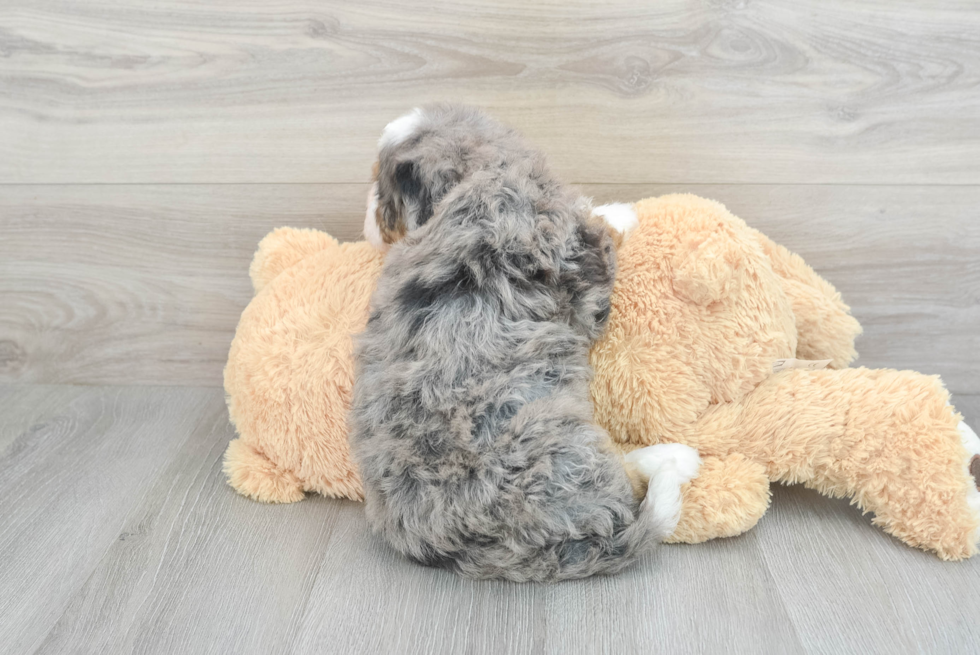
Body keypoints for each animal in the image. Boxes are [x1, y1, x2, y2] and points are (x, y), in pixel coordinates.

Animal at [348, 105, 700, 580]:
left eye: (379, 187)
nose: (368, 223)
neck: (479, 173)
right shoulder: (582, 263)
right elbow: (602, 231)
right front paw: (619, 212)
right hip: (567, 443)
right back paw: (676, 459)